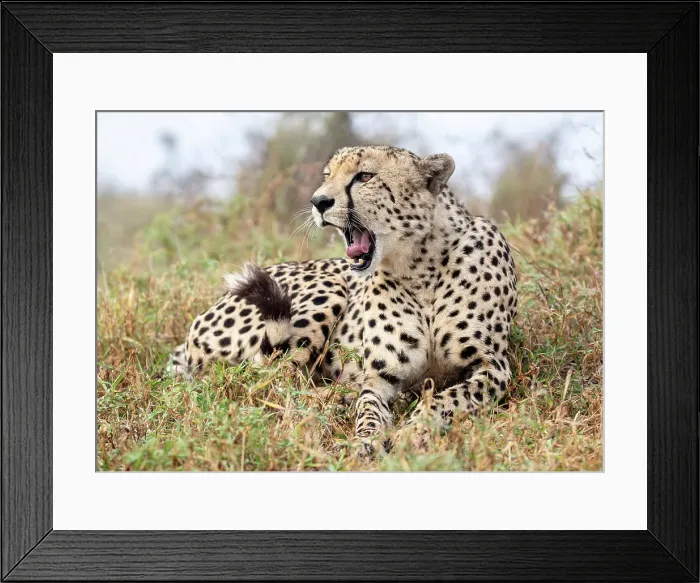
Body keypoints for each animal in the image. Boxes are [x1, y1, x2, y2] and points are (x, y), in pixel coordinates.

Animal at [169, 145, 518, 453]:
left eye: (364, 176)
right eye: (327, 175)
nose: (318, 201)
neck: (419, 266)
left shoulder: (492, 365)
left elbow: (448, 398)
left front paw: (414, 431)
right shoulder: (379, 375)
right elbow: (368, 407)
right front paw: (366, 439)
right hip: (328, 287)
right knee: (270, 384)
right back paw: (338, 397)